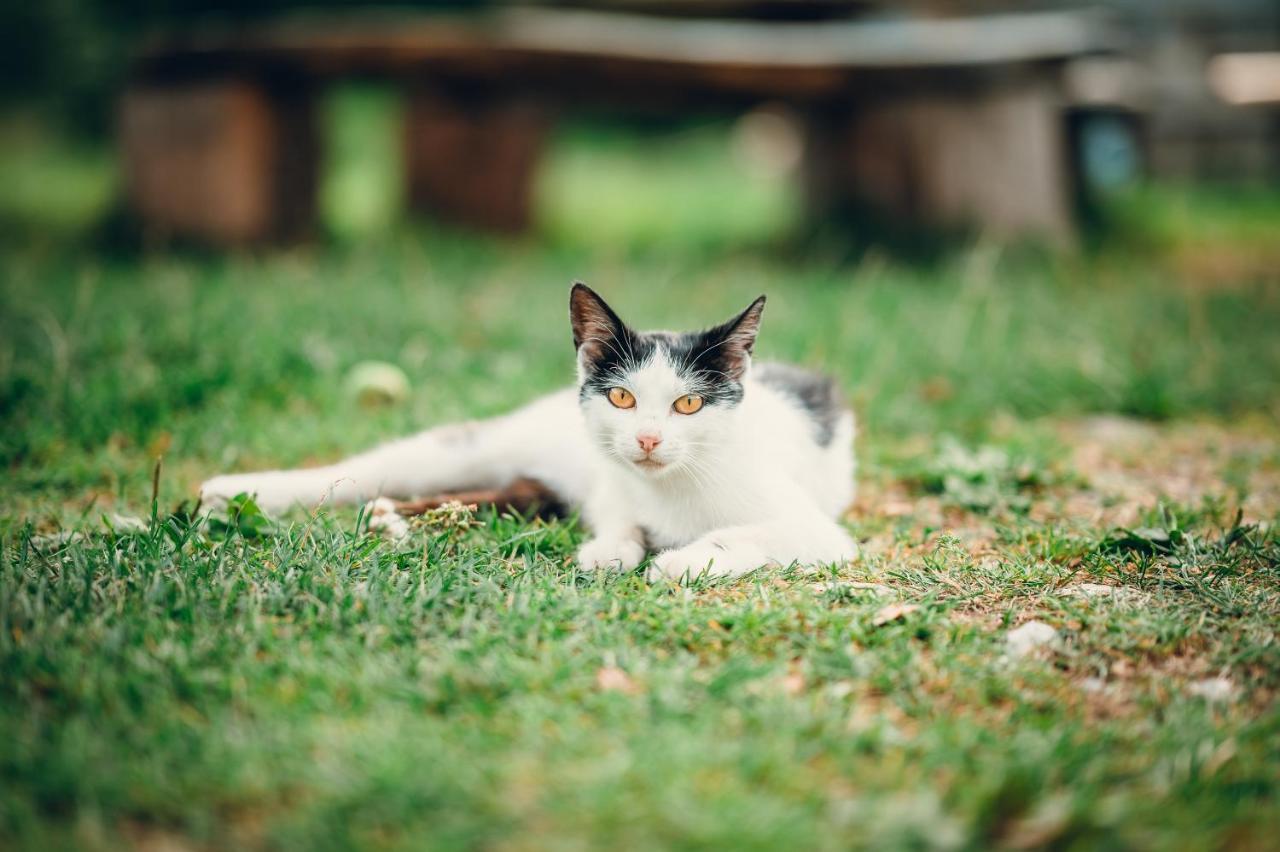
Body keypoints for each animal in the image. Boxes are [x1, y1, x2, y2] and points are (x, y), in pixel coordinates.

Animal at [202, 281, 860, 580]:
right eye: (622, 397)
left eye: (690, 404)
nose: (647, 441)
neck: (674, 486)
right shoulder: (612, 484)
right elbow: (619, 521)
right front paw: (613, 548)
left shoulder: (821, 534)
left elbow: (752, 535)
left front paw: (683, 560)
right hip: (486, 446)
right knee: (374, 470)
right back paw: (237, 492)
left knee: (517, 494)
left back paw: (396, 517)